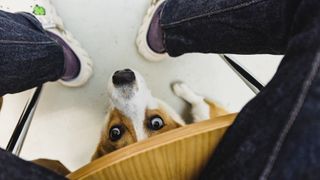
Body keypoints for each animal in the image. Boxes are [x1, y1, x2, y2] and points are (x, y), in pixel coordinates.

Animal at [91, 68, 229, 160]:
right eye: (115, 133)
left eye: (156, 123)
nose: (123, 77)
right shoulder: (206, 112)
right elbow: (198, 100)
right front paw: (181, 88)